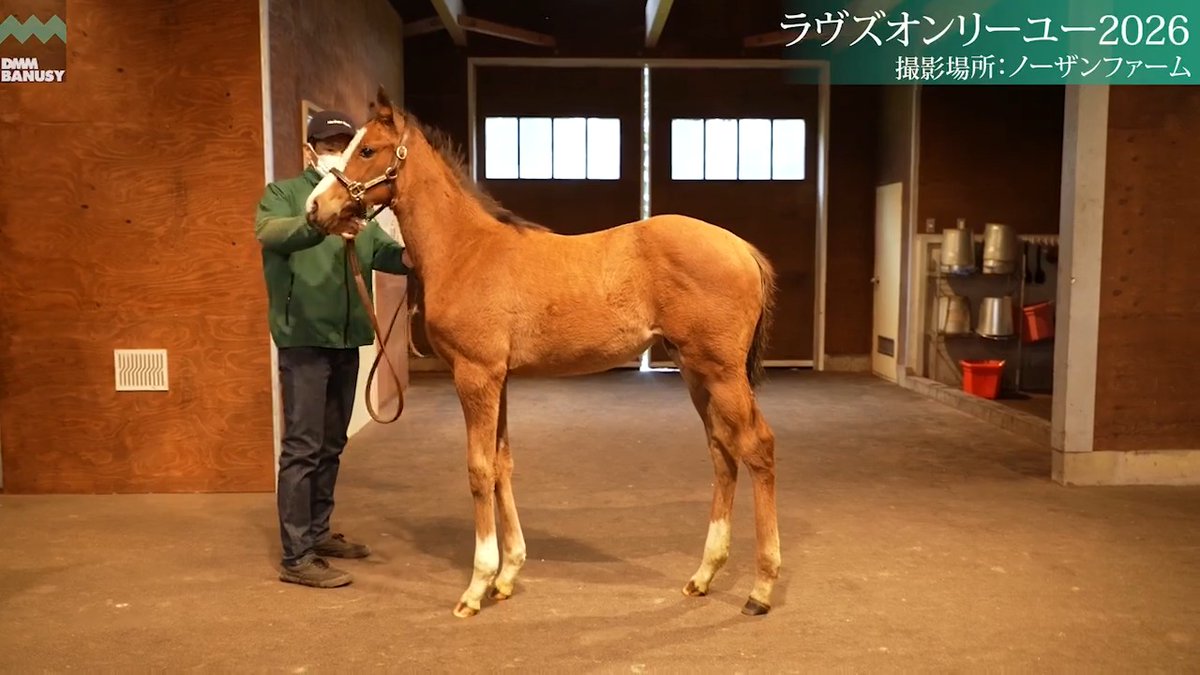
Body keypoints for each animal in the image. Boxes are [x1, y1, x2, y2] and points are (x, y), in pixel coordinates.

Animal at [306, 86, 781, 619]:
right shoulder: (498, 379)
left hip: (722, 372)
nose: (315, 208)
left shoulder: (475, 376)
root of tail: (742, 248)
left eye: (367, 150)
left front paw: (477, 586)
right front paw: (508, 574)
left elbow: (479, 470)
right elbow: (502, 464)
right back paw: (703, 575)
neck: (467, 250)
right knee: (723, 452)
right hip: (695, 371)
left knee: (758, 447)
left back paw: (760, 589)